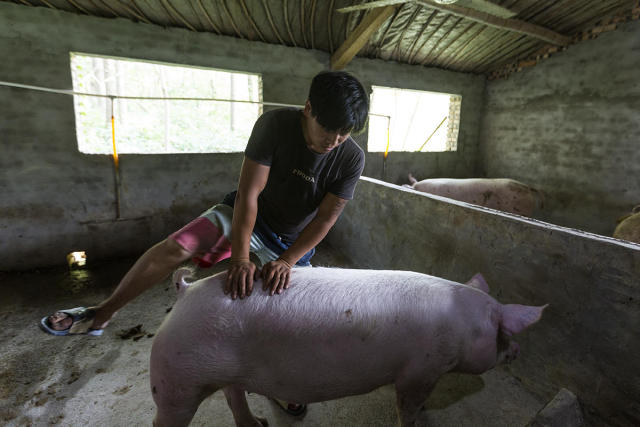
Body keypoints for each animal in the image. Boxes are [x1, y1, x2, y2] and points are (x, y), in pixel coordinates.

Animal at [150, 270, 544, 426]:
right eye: (503, 333)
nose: (518, 351)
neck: (463, 324)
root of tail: (185, 290)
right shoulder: (420, 370)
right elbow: (407, 406)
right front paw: (415, 420)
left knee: (233, 393)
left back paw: (259, 424)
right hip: (175, 380)